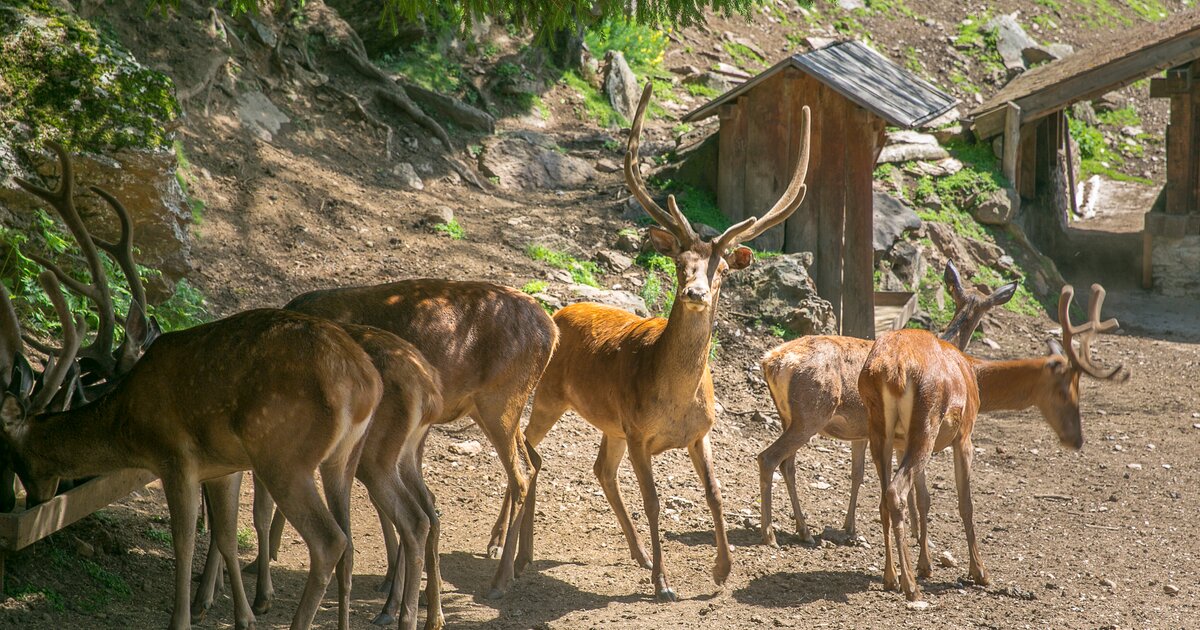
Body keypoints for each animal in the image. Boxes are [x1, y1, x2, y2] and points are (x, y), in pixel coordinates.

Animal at [0, 142, 384, 628]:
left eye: (17, 456)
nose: (35, 499)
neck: (128, 420)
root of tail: (366, 383)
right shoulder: (220, 467)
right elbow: (223, 535)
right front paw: (240, 616)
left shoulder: (175, 456)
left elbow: (184, 542)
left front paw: (181, 618)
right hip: (342, 459)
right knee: (348, 544)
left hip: (285, 456)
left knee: (330, 542)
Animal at [492, 83, 811, 600]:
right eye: (681, 264)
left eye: (723, 269)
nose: (695, 292)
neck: (674, 399)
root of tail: (560, 312)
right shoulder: (641, 433)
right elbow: (655, 500)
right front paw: (664, 584)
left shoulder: (699, 432)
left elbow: (715, 494)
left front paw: (722, 571)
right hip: (550, 396)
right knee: (526, 445)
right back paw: (506, 547)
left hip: (611, 424)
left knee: (599, 467)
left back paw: (633, 554)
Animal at [758, 260, 1012, 544]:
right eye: (986, 309)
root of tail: (771, 361)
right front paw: (918, 535)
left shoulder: (860, 434)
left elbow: (857, 474)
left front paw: (850, 527)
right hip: (812, 413)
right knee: (768, 458)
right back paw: (770, 534)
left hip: (788, 416)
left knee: (787, 464)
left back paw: (804, 530)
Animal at [859, 280, 1128, 600]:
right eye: (1067, 391)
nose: (1077, 440)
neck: (973, 373)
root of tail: (892, 372)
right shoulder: (964, 435)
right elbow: (966, 503)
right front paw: (980, 571)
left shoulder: (903, 443)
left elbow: (925, 499)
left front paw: (927, 565)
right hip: (926, 423)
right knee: (895, 492)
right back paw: (909, 585)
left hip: (880, 430)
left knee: (882, 498)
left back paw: (890, 576)